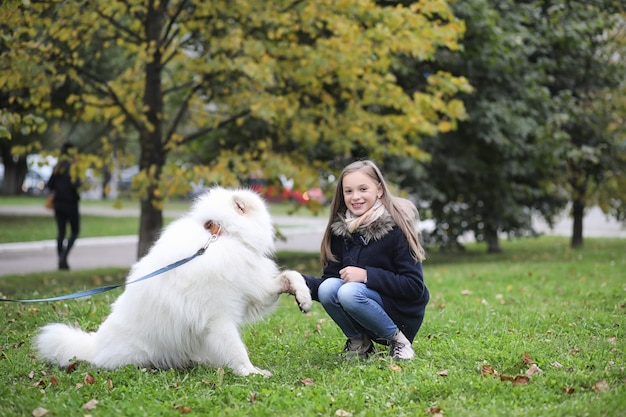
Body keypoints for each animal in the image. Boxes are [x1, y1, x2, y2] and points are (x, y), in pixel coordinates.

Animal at [34, 187, 312, 376]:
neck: (221, 236)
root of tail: (95, 346)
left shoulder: (253, 290)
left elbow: (291, 275)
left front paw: (304, 299)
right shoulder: (219, 319)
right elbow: (237, 350)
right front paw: (251, 372)